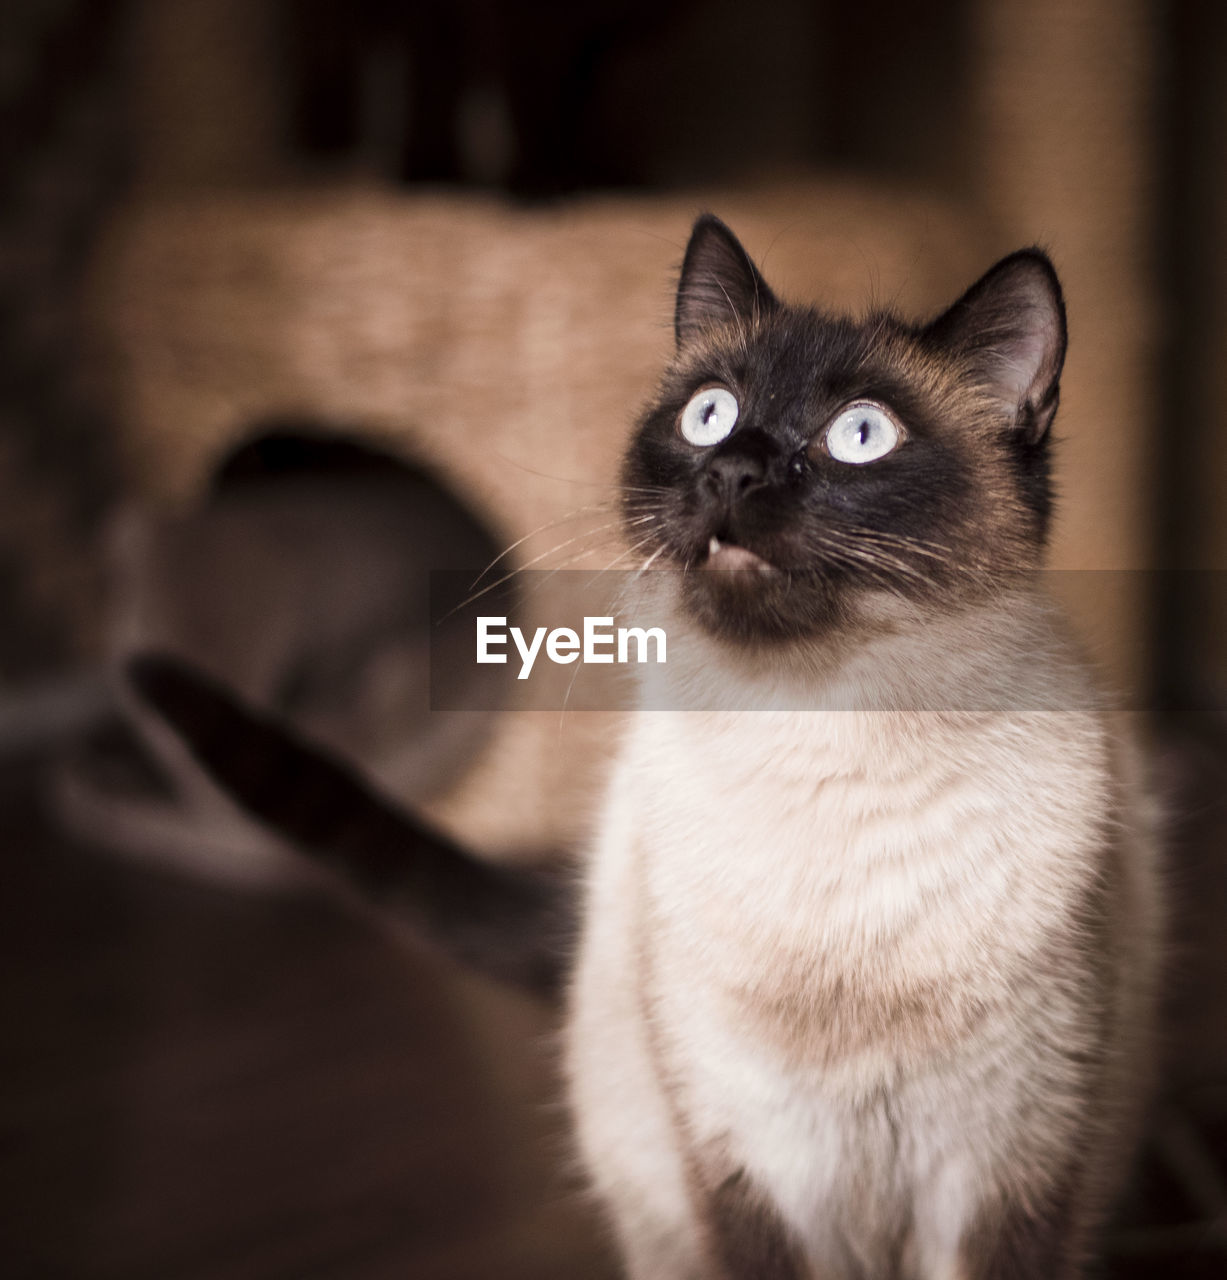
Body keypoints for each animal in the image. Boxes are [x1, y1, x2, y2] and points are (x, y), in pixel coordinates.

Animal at [129, 215, 1166, 1274]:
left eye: (860, 436)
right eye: (709, 415)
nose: (732, 471)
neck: (814, 741)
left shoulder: (1006, 1172)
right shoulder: (750, 1160)